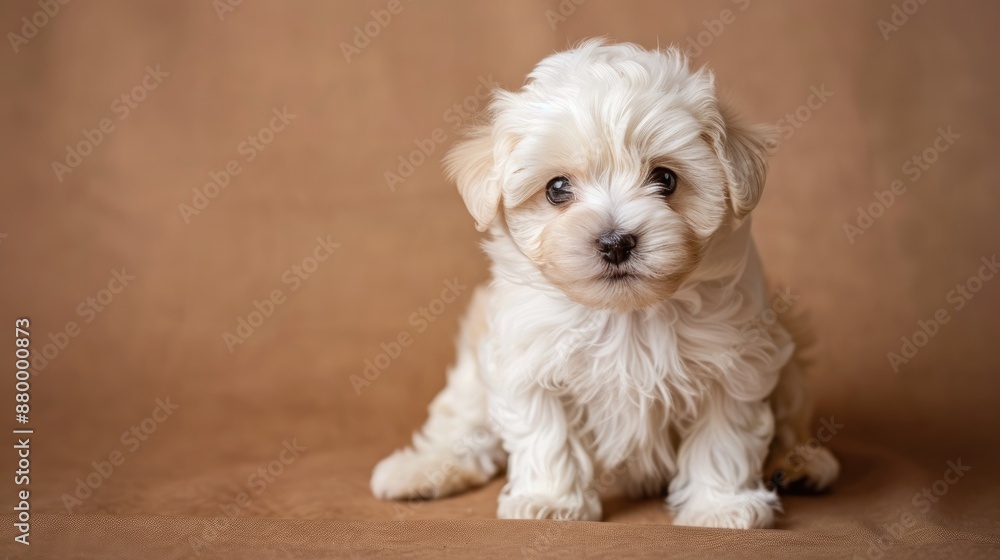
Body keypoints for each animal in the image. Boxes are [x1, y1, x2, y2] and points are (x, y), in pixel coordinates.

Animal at [372, 40, 840, 528]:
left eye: (665, 179)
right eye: (557, 188)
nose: (615, 242)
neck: (625, 313)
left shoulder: (733, 361)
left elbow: (721, 439)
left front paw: (721, 506)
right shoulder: (527, 359)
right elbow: (547, 434)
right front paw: (550, 501)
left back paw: (802, 463)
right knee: (463, 423)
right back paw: (420, 470)